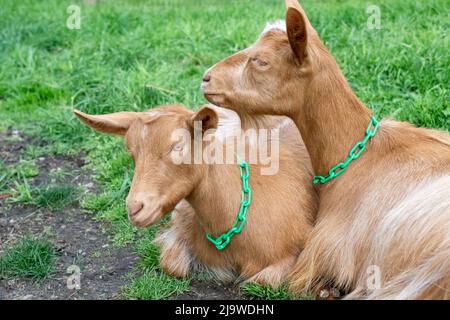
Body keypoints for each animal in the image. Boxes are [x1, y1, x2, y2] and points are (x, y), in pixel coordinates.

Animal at [74, 104, 318, 284]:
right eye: (131, 151)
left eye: (178, 146)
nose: (135, 208)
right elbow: (171, 264)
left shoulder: (299, 249)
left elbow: (262, 280)